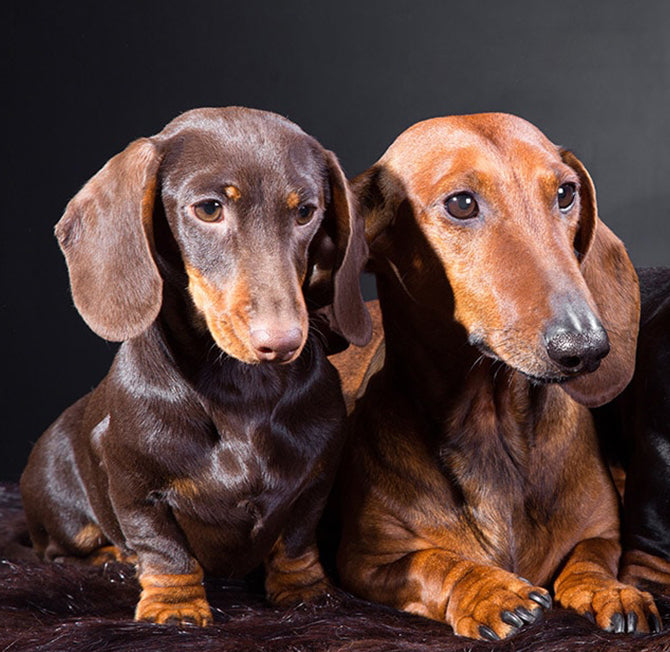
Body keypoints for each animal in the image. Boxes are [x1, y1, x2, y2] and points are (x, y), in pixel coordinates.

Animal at [19, 107, 372, 628]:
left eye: (306, 212)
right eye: (209, 209)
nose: (283, 342)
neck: (242, 392)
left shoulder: (316, 480)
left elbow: (296, 541)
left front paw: (305, 592)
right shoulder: (134, 483)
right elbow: (164, 548)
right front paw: (175, 606)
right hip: (61, 511)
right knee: (59, 552)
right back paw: (113, 558)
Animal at [336, 112, 660, 636]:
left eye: (566, 193)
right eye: (462, 203)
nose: (585, 347)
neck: (493, 424)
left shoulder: (603, 531)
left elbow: (591, 556)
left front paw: (609, 591)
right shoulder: (366, 563)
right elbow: (432, 563)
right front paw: (489, 590)